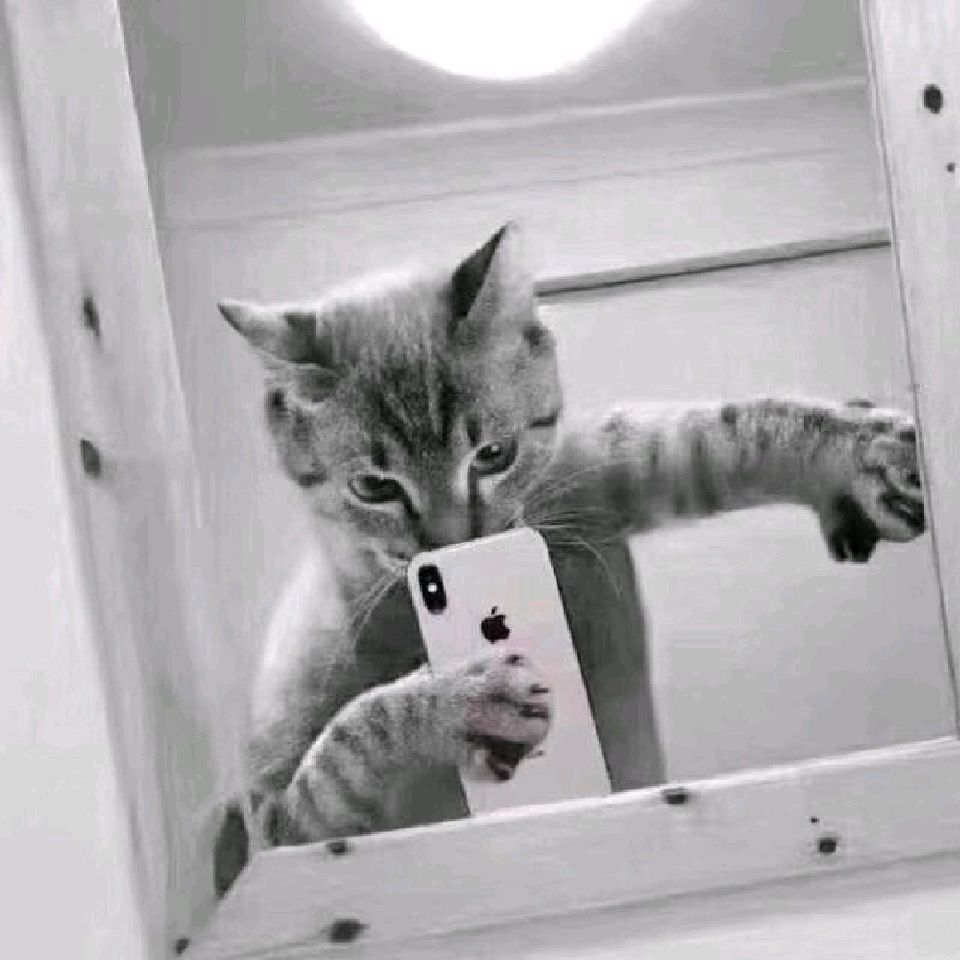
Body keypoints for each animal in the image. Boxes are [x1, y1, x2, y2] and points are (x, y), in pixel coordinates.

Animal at [212, 222, 925, 895]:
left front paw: (858, 453)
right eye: (373, 487)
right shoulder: (280, 839)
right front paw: (463, 697)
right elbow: (350, 738)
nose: (452, 546)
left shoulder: (586, 476)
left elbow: (719, 431)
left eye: (493, 455)